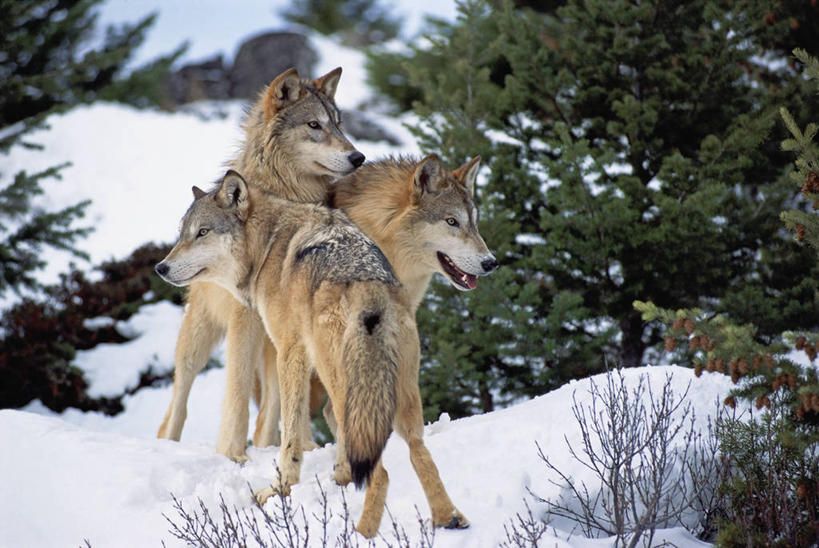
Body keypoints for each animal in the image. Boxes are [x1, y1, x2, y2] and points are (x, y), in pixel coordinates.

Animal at [155, 173, 468, 536]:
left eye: (202, 232)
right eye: (183, 234)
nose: (160, 267)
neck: (266, 246)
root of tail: (369, 286)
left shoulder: (289, 350)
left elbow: (289, 432)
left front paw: (279, 489)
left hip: (343, 385)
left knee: (380, 470)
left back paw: (361, 533)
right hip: (399, 393)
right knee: (419, 451)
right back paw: (448, 518)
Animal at [158, 64, 366, 460]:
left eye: (338, 124)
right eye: (314, 125)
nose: (358, 157)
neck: (288, 191)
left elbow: (283, 399)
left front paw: (297, 447)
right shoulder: (245, 321)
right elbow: (237, 388)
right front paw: (232, 453)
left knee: (272, 401)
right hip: (198, 335)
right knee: (178, 400)